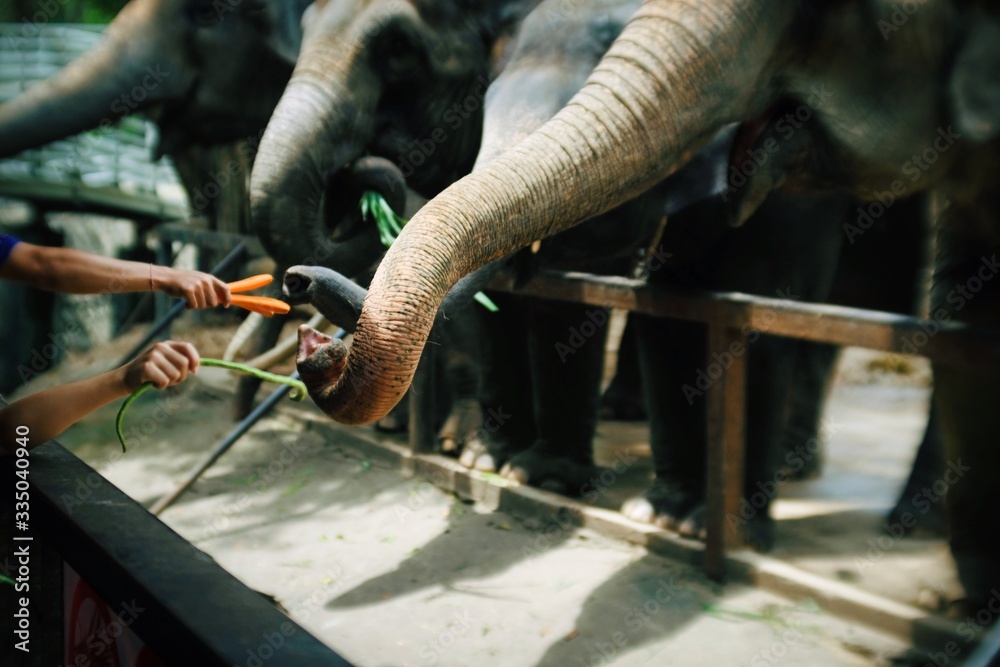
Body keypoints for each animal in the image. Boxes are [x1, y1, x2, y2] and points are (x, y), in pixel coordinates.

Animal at [291, 1, 1000, 609]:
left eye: (398, 52)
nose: (299, 288)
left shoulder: (791, 199)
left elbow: (755, 304)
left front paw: (712, 529)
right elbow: (664, 310)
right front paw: (613, 501)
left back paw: (894, 517)